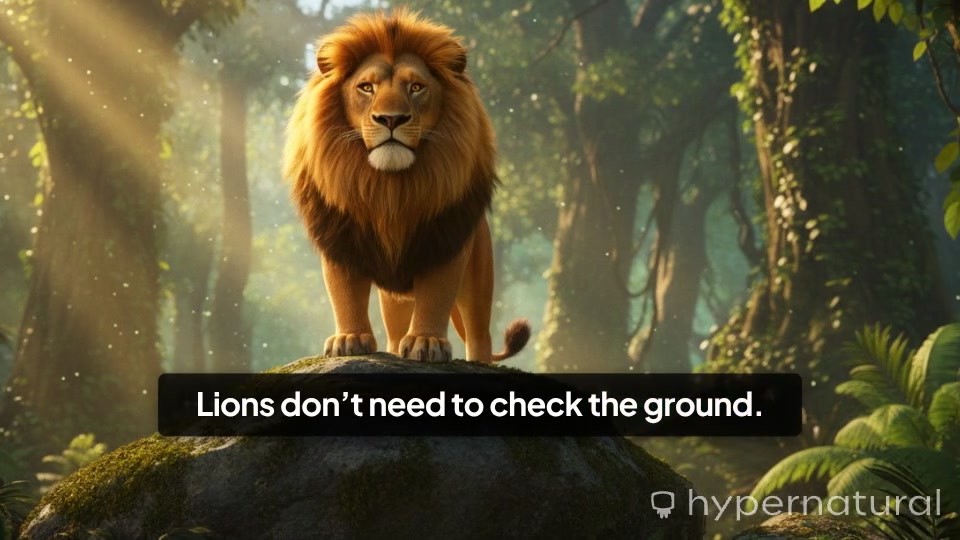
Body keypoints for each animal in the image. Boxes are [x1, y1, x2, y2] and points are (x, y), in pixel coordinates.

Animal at [283, 9, 530, 363]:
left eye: (416, 87)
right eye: (366, 87)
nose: (391, 119)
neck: (390, 188)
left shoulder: (444, 239)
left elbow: (437, 294)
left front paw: (427, 342)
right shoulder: (341, 238)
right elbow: (345, 293)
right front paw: (349, 338)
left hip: (478, 278)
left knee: (478, 333)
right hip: (395, 298)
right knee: (395, 330)